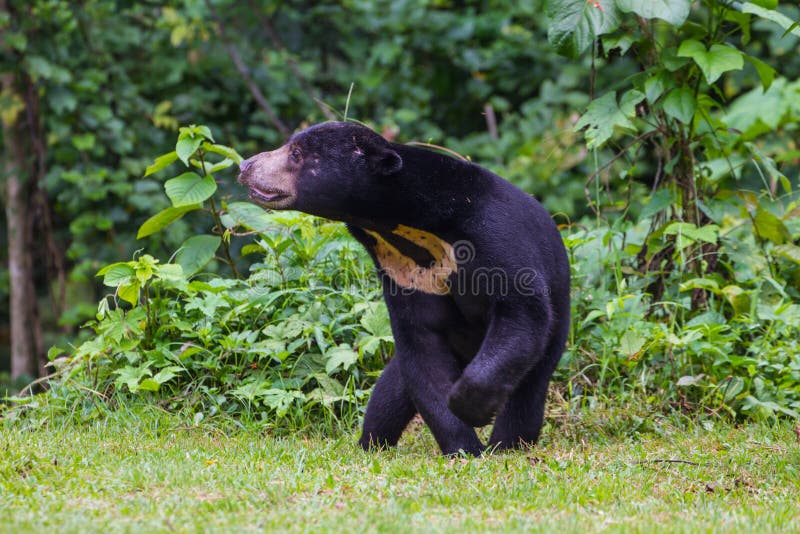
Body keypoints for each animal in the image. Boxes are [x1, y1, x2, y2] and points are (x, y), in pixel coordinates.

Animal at [238, 122, 568, 456]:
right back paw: (371, 443)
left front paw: (473, 411)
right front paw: (463, 448)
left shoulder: (495, 234)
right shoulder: (403, 270)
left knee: (529, 389)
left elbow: (521, 311)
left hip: (557, 323)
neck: (405, 224)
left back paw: (508, 445)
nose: (245, 166)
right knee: (392, 387)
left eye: (296, 154)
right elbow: (422, 345)